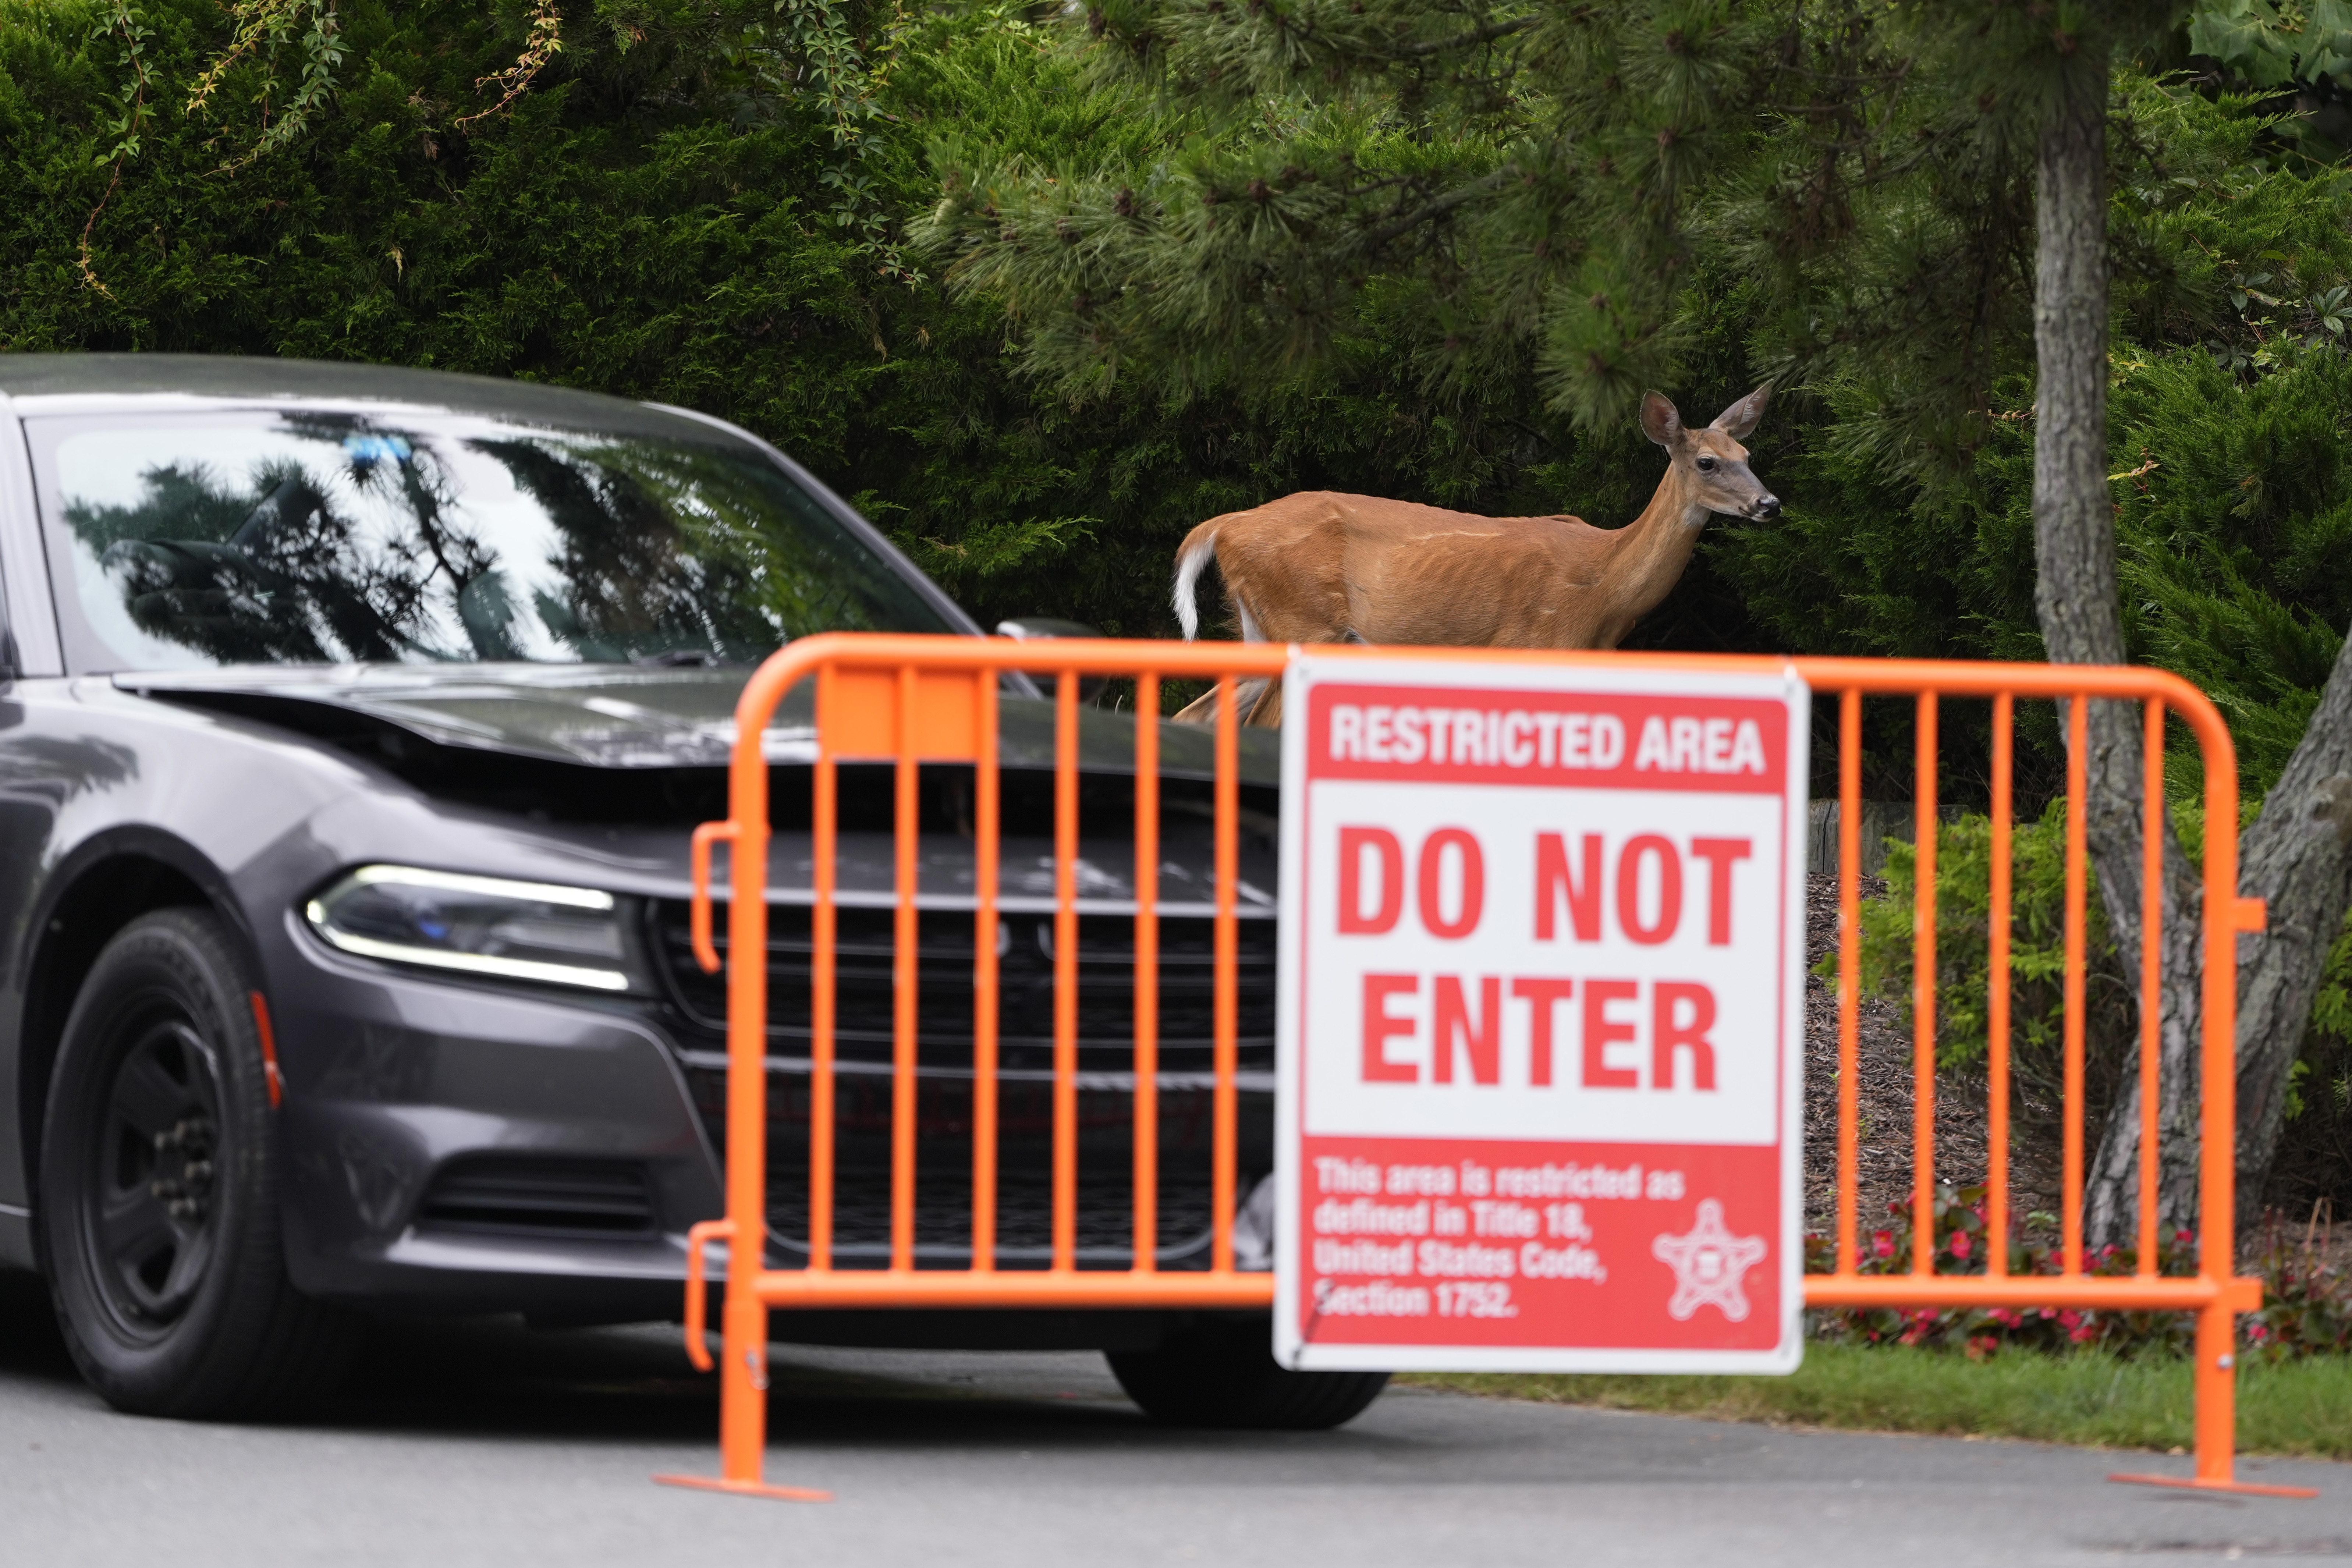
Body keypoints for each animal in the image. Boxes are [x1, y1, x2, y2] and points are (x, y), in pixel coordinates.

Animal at [1166, 383, 1769, 728]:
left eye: (1748, 453)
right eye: (1708, 462)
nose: (1770, 503)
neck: (1605, 588)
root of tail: (1224, 525)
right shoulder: (1532, 644)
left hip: (1260, 630)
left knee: (1196, 713)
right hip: (1304, 622)